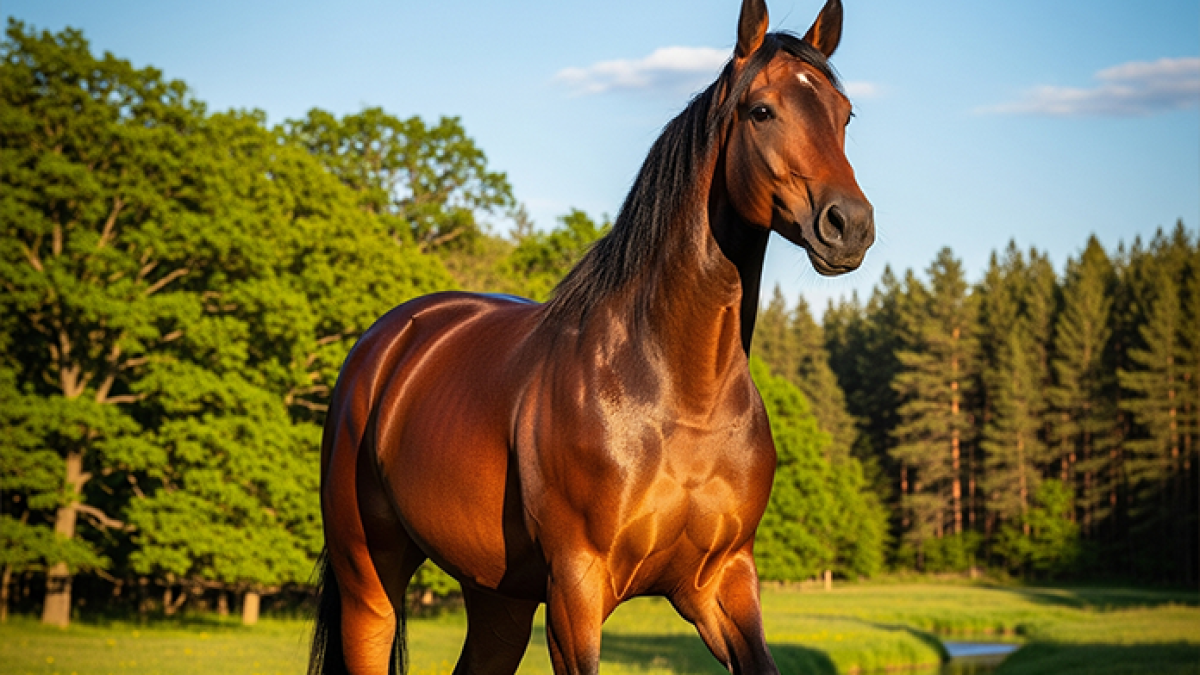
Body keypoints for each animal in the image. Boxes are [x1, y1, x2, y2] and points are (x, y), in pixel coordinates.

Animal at [309, 0, 874, 672]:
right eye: (762, 110)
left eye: (845, 115)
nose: (849, 226)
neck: (681, 394)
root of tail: (383, 345)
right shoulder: (576, 589)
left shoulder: (722, 582)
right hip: (369, 577)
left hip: (497, 598)